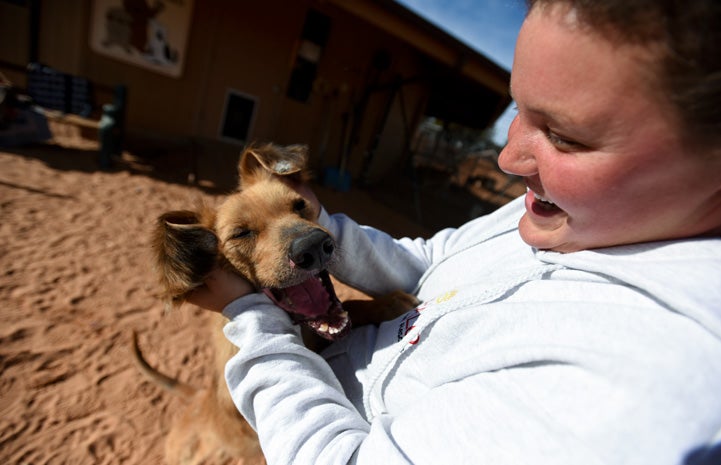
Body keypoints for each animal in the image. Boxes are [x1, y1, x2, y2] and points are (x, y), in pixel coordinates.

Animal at [134, 143, 416, 464]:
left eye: (299, 205)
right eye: (241, 233)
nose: (313, 246)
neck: (303, 333)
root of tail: (199, 398)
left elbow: (352, 306)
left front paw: (389, 303)